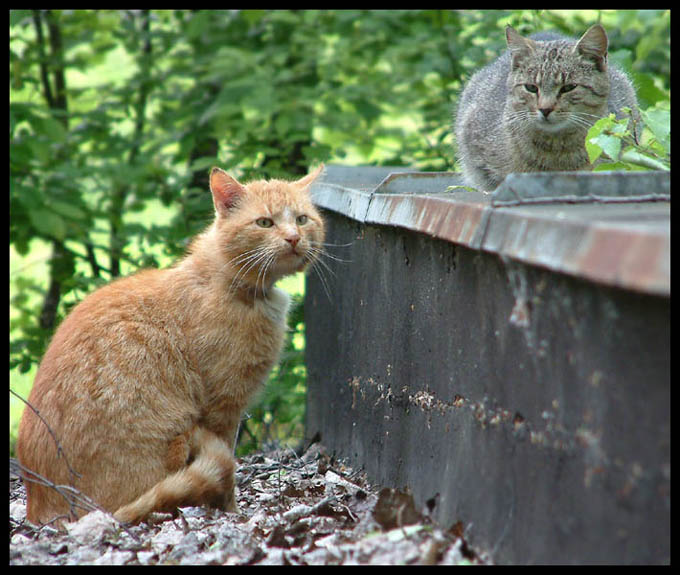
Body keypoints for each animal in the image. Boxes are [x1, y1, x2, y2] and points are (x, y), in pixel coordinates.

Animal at [15, 165, 324, 528]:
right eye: (265, 222)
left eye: (302, 219)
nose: (293, 237)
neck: (226, 283)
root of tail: (43, 509)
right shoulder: (223, 407)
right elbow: (229, 467)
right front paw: (231, 512)